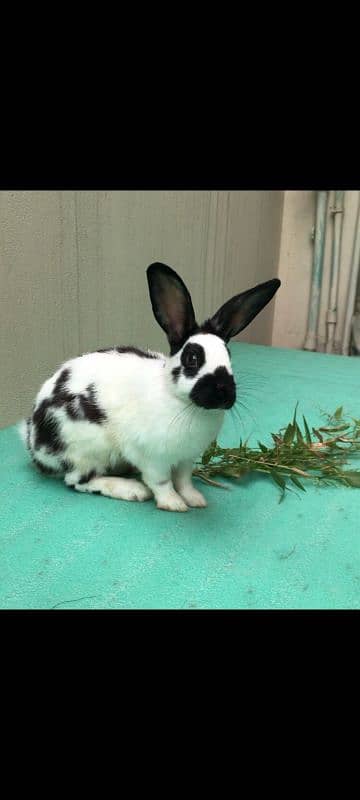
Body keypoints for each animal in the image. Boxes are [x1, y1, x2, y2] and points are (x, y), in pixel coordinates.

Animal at [18, 262, 280, 512]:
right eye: (192, 358)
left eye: (229, 356)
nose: (224, 394)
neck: (181, 402)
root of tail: (34, 442)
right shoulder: (153, 458)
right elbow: (161, 482)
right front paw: (173, 504)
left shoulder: (186, 459)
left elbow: (184, 480)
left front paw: (195, 499)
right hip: (88, 448)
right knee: (78, 481)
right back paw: (132, 489)